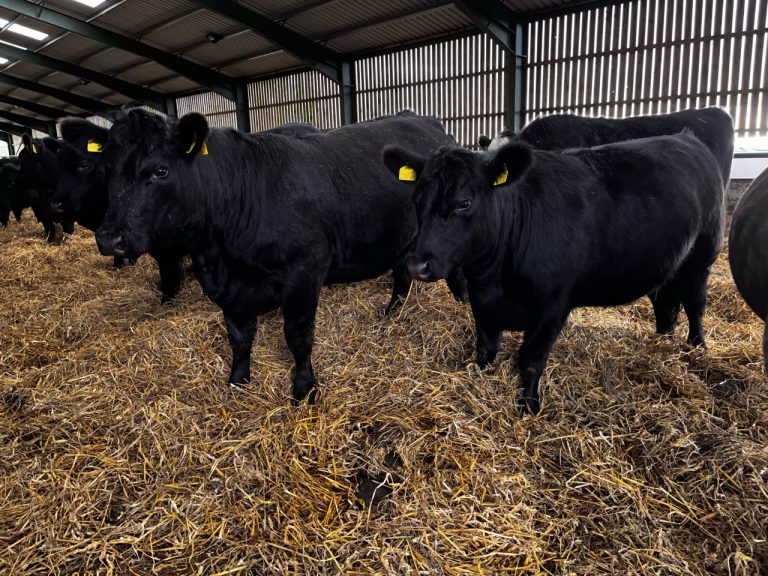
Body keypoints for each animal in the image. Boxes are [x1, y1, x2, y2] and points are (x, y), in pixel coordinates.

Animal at [94, 108, 461, 401]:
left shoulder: (303, 276)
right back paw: (391, 314)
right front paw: (238, 380)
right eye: (105, 169)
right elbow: (239, 338)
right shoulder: (226, 288)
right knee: (401, 275)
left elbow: (298, 338)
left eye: (161, 171)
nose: (109, 237)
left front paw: (304, 388)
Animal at [383, 131, 725, 414]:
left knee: (696, 304)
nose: (416, 265)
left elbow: (530, 360)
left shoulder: (552, 308)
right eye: (416, 200)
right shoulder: (482, 302)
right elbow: (485, 350)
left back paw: (698, 347)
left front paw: (528, 407)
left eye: (464, 203)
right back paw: (663, 341)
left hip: (702, 256)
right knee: (666, 303)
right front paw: (479, 382)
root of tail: (686, 138)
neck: (496, 277)